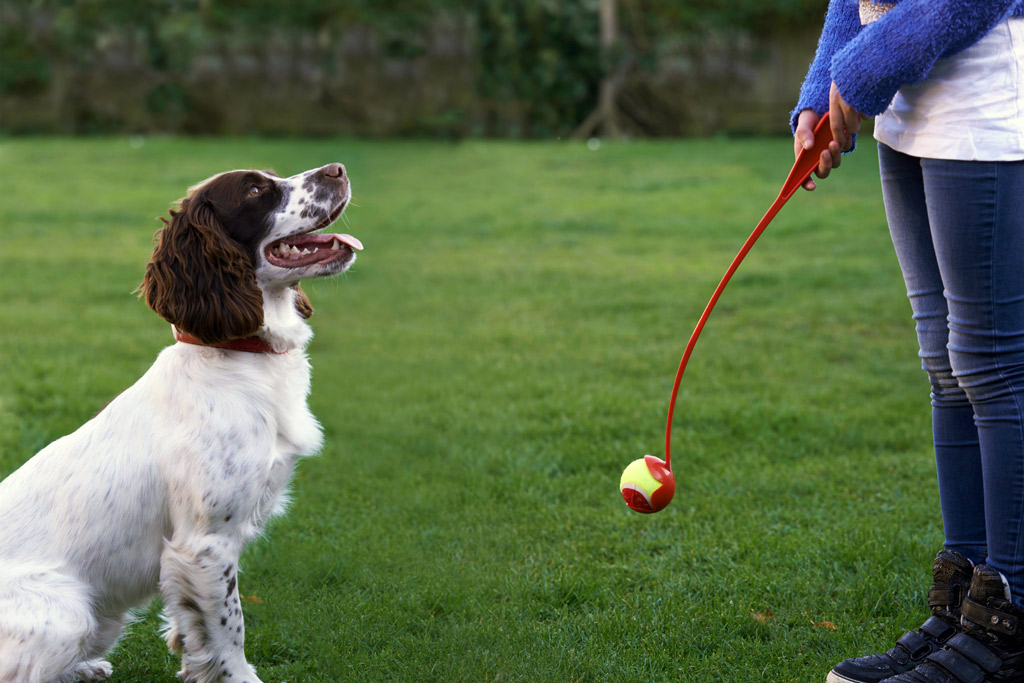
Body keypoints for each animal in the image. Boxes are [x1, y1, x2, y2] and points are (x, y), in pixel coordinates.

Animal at [0, 162, 362, 679]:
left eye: (272, 175)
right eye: (256, 189)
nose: (337, 169)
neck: (236, 355)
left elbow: (195, 629)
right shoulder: (205, 543)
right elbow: (230, 628)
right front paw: (240, 676)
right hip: (68, 614)